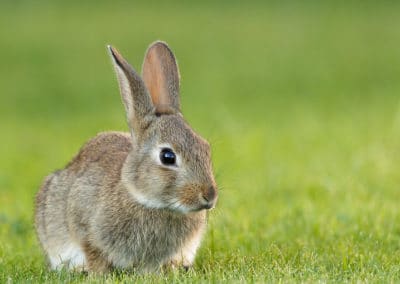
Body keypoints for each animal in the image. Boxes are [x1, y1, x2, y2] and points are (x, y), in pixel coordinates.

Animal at [35, 40, 219, 272]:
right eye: (167, 156)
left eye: (206, 149)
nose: (210, 196)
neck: (144, 198)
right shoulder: (84, 226)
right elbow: (93, 252)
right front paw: (98, 273)